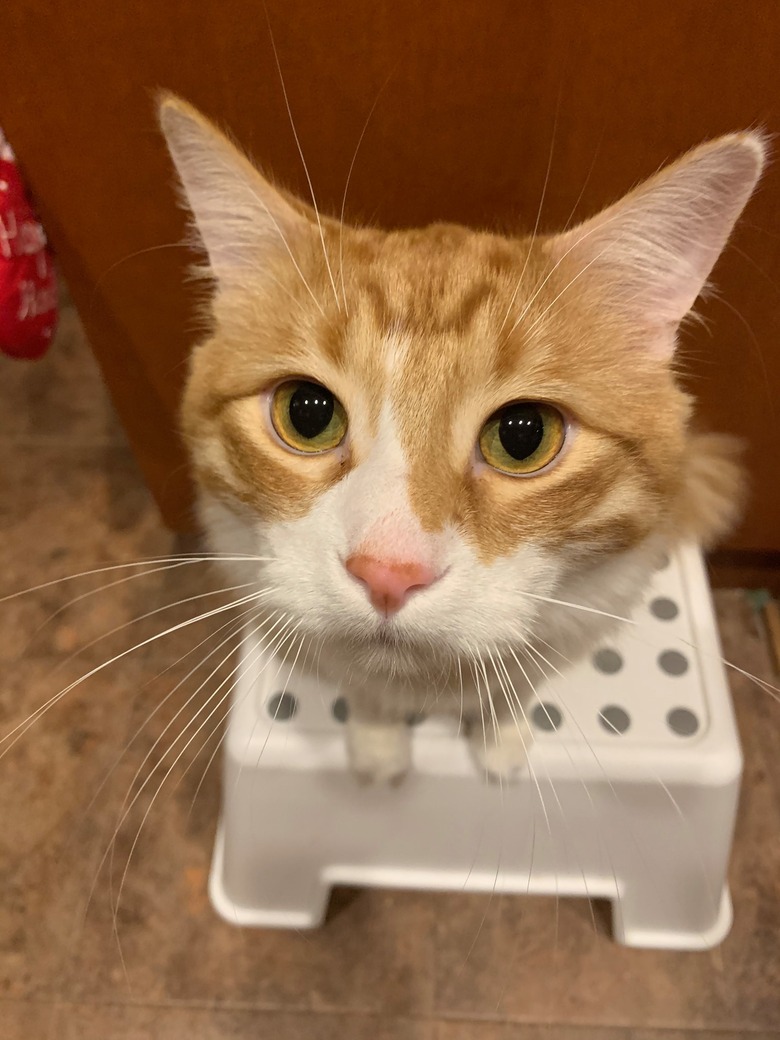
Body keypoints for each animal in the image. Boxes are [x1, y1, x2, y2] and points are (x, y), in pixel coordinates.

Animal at [157, 95, 765, 782]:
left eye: (523, 435)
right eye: (307, 413)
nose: (388, 573)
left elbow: (512, 683)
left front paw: (500, 739)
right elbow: (363, 685)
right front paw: (377, 745)